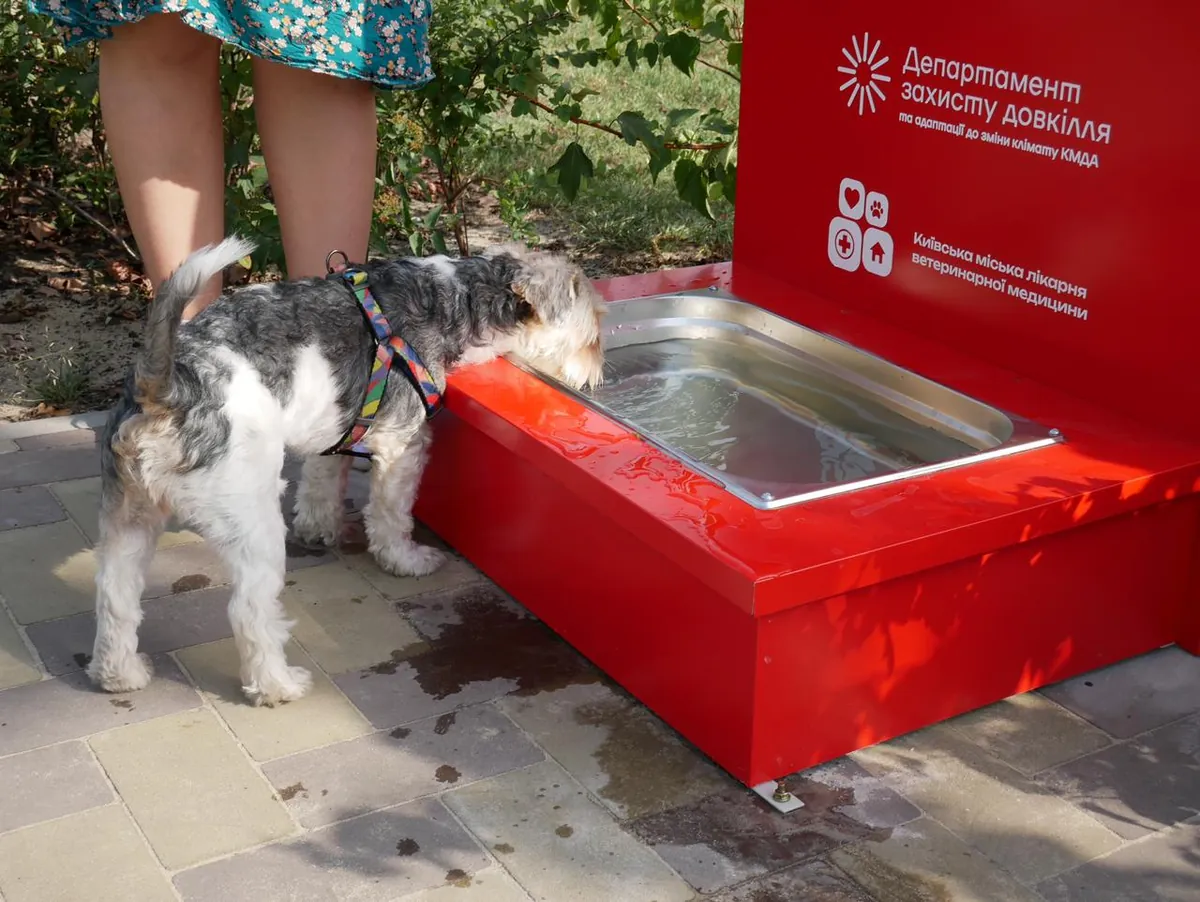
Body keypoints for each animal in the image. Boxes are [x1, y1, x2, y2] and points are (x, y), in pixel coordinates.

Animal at [91, 237, 609, 705]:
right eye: (594, 334)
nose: (593, 380)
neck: (453, 297)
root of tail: (165, 388)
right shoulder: (403, 445)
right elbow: (392, 516)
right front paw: (405, 560)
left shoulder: (335, 427)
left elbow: (322, 484)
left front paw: (319, 528)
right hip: (250, 522)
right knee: (248, 611)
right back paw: (278, 686)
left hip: (128, 519)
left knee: (115, 597)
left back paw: (120, 675)